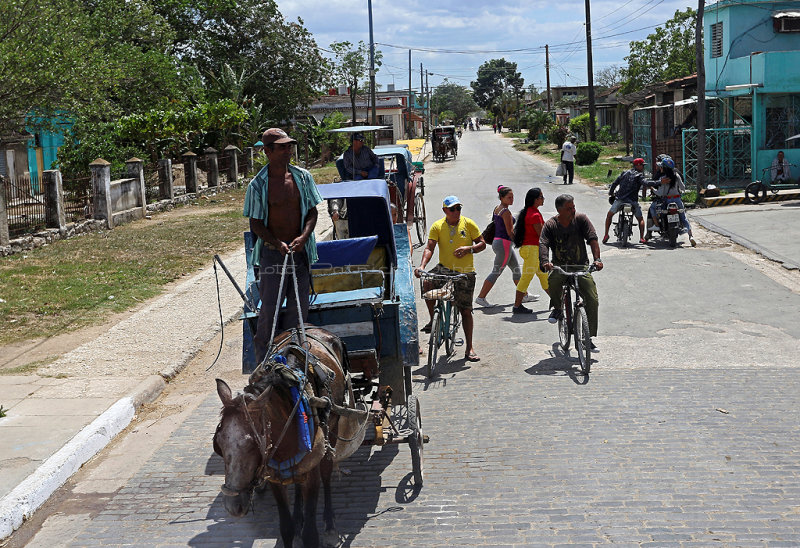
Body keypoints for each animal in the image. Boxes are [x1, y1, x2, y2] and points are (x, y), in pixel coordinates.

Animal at [212, 328, 368, 544]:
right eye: (218, 443)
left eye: (253, 444)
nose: (233, 506)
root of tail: (309, 327)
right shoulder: (273, 476)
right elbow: (286, 527)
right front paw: (294, 521)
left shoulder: (312, 472)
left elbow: (310, 534)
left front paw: (316, 527)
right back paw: (298, 515)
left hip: (332, 431)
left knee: (327, 472)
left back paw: (329, 525)